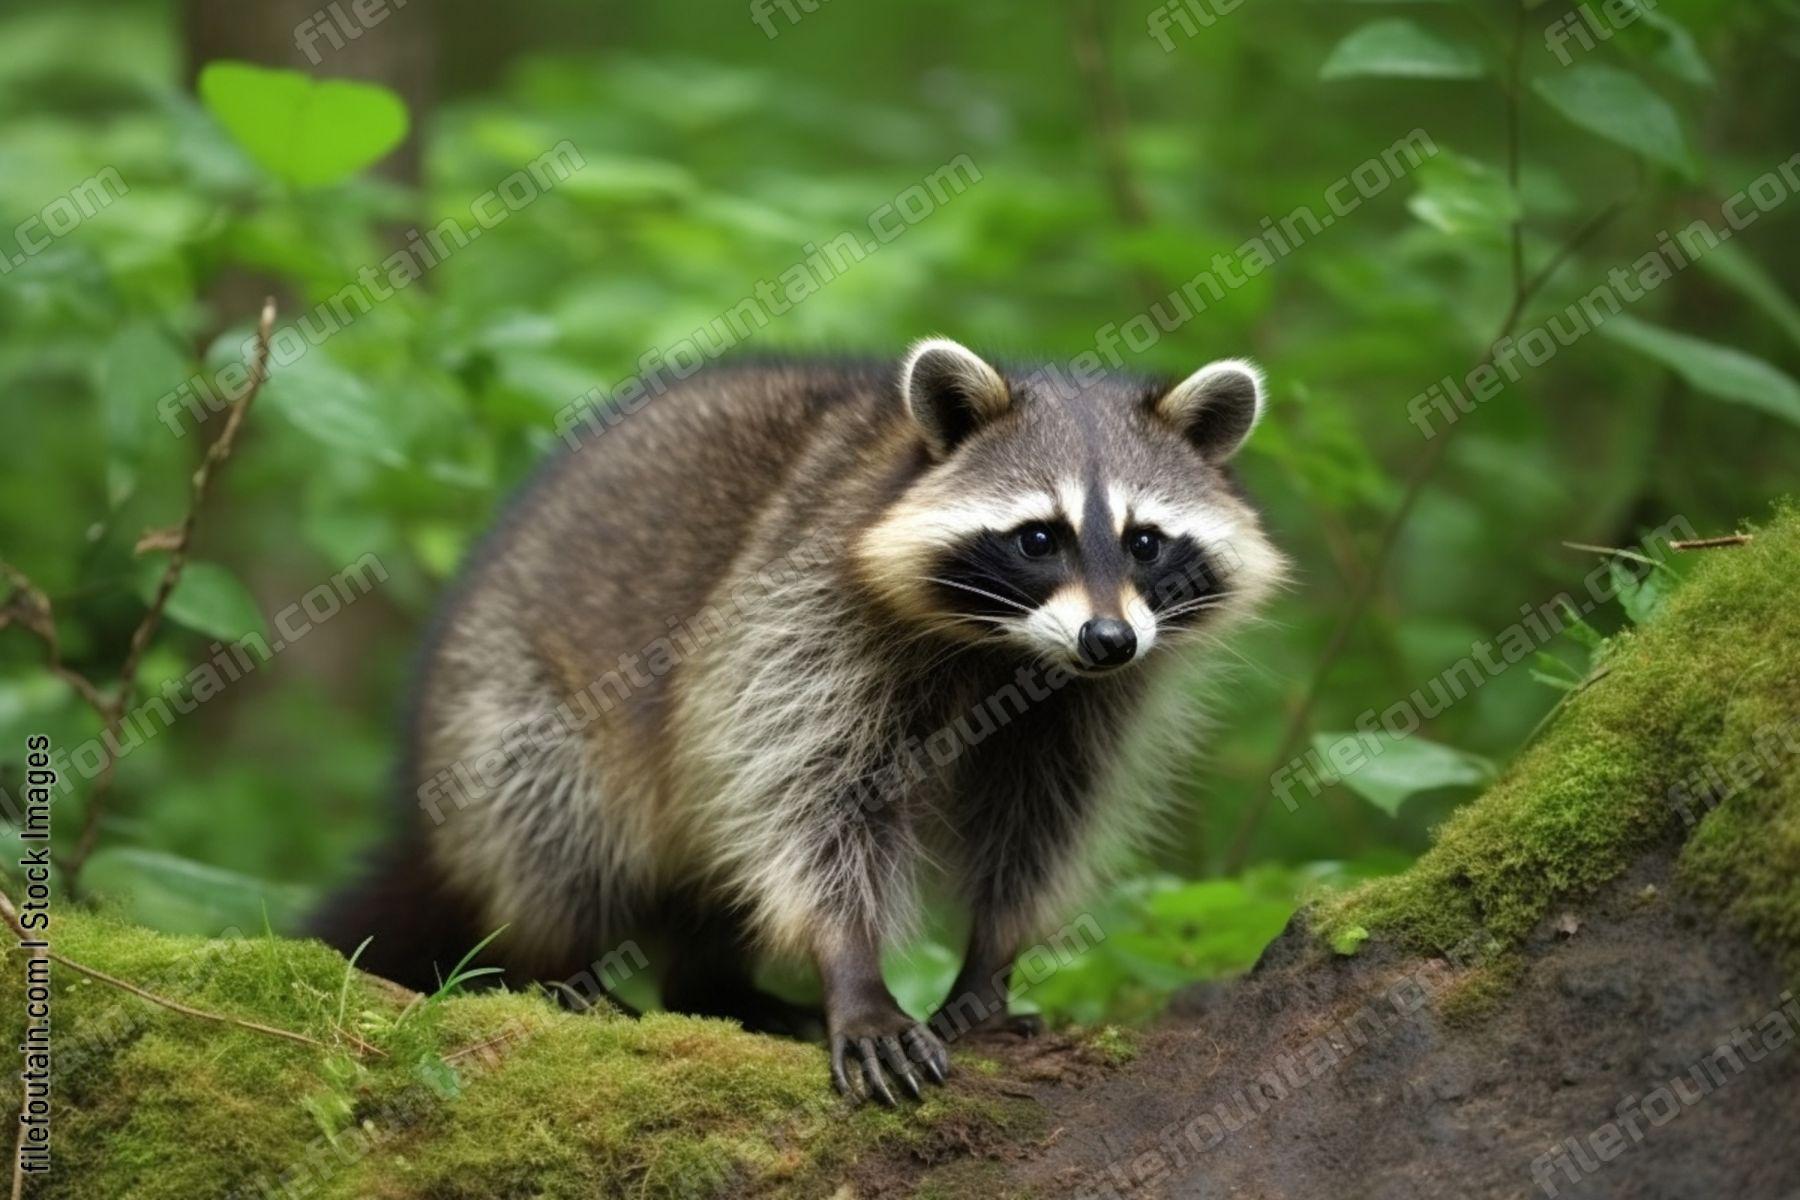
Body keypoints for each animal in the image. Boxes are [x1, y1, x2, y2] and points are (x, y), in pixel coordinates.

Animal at [313, 338, 1284, 1104]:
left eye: (1146, 541)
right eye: (1038, 538)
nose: (1109, 639)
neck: (1008, 652)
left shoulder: (1082, 705)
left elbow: (1035, 829)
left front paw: (990, 967)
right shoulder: (801, 620)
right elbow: (816, 807)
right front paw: (854, 972)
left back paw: (716, 986)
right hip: (507, 698)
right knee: (559, 828)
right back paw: (568, 963)